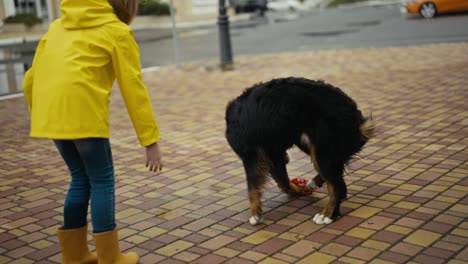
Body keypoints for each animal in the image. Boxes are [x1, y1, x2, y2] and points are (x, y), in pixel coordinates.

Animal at [225, 77, 374, 225]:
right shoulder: (273, 153)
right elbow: (283, 181)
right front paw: (298, 190)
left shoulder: (254, 155)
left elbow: (253, 187)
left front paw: (256, 214)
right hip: (308, 142)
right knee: (336, 170)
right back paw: (313, 184)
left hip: (321, 149)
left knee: (337, 186)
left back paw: (327, 215)